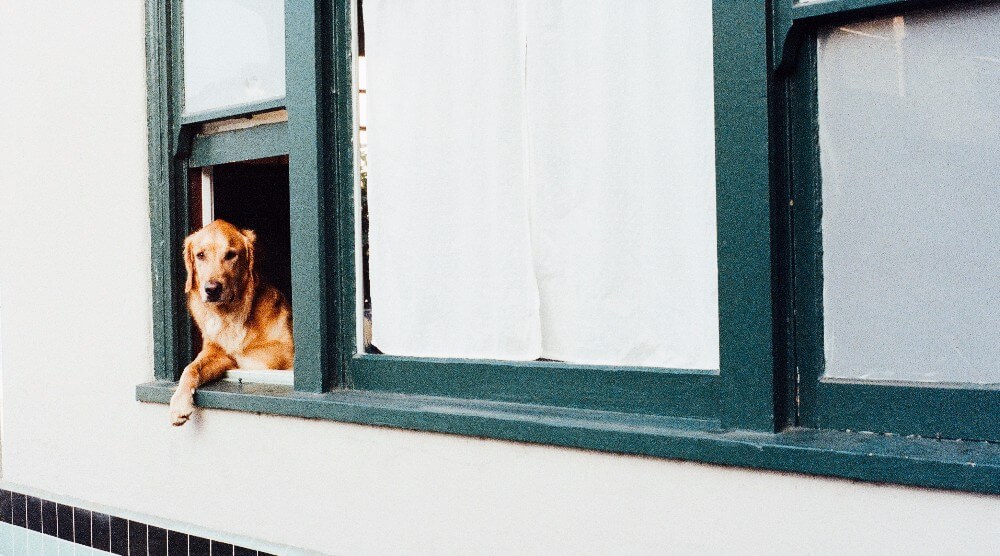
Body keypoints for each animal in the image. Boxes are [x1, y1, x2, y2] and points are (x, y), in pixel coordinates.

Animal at [168, 219, 292, 424]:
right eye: (200, 255)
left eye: (231, 255)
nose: (212, 289)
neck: (229, 315)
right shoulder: (214, 353)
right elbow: (190, 368)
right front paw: (179, 402)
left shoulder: (286, 349)